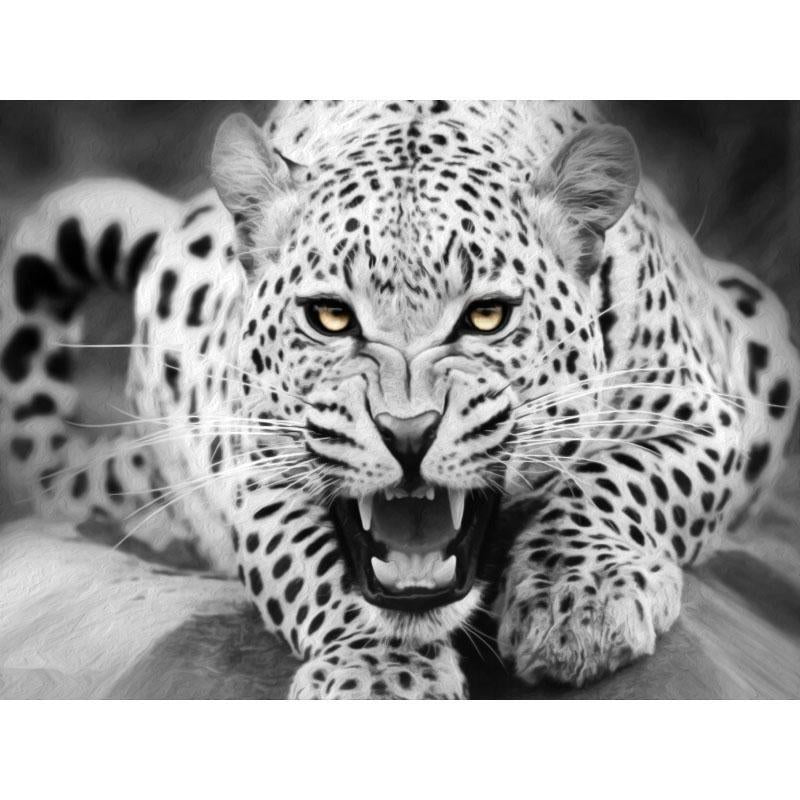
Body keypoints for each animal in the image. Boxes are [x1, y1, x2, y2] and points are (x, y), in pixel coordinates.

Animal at [1, 100, 797, 699]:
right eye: (330, 317)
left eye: (486, 316)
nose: (408, 433)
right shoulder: (259, 471)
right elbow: (318, 570)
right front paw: (381, 677)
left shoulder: (702, 412)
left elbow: (620, 481)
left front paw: (579, 604)